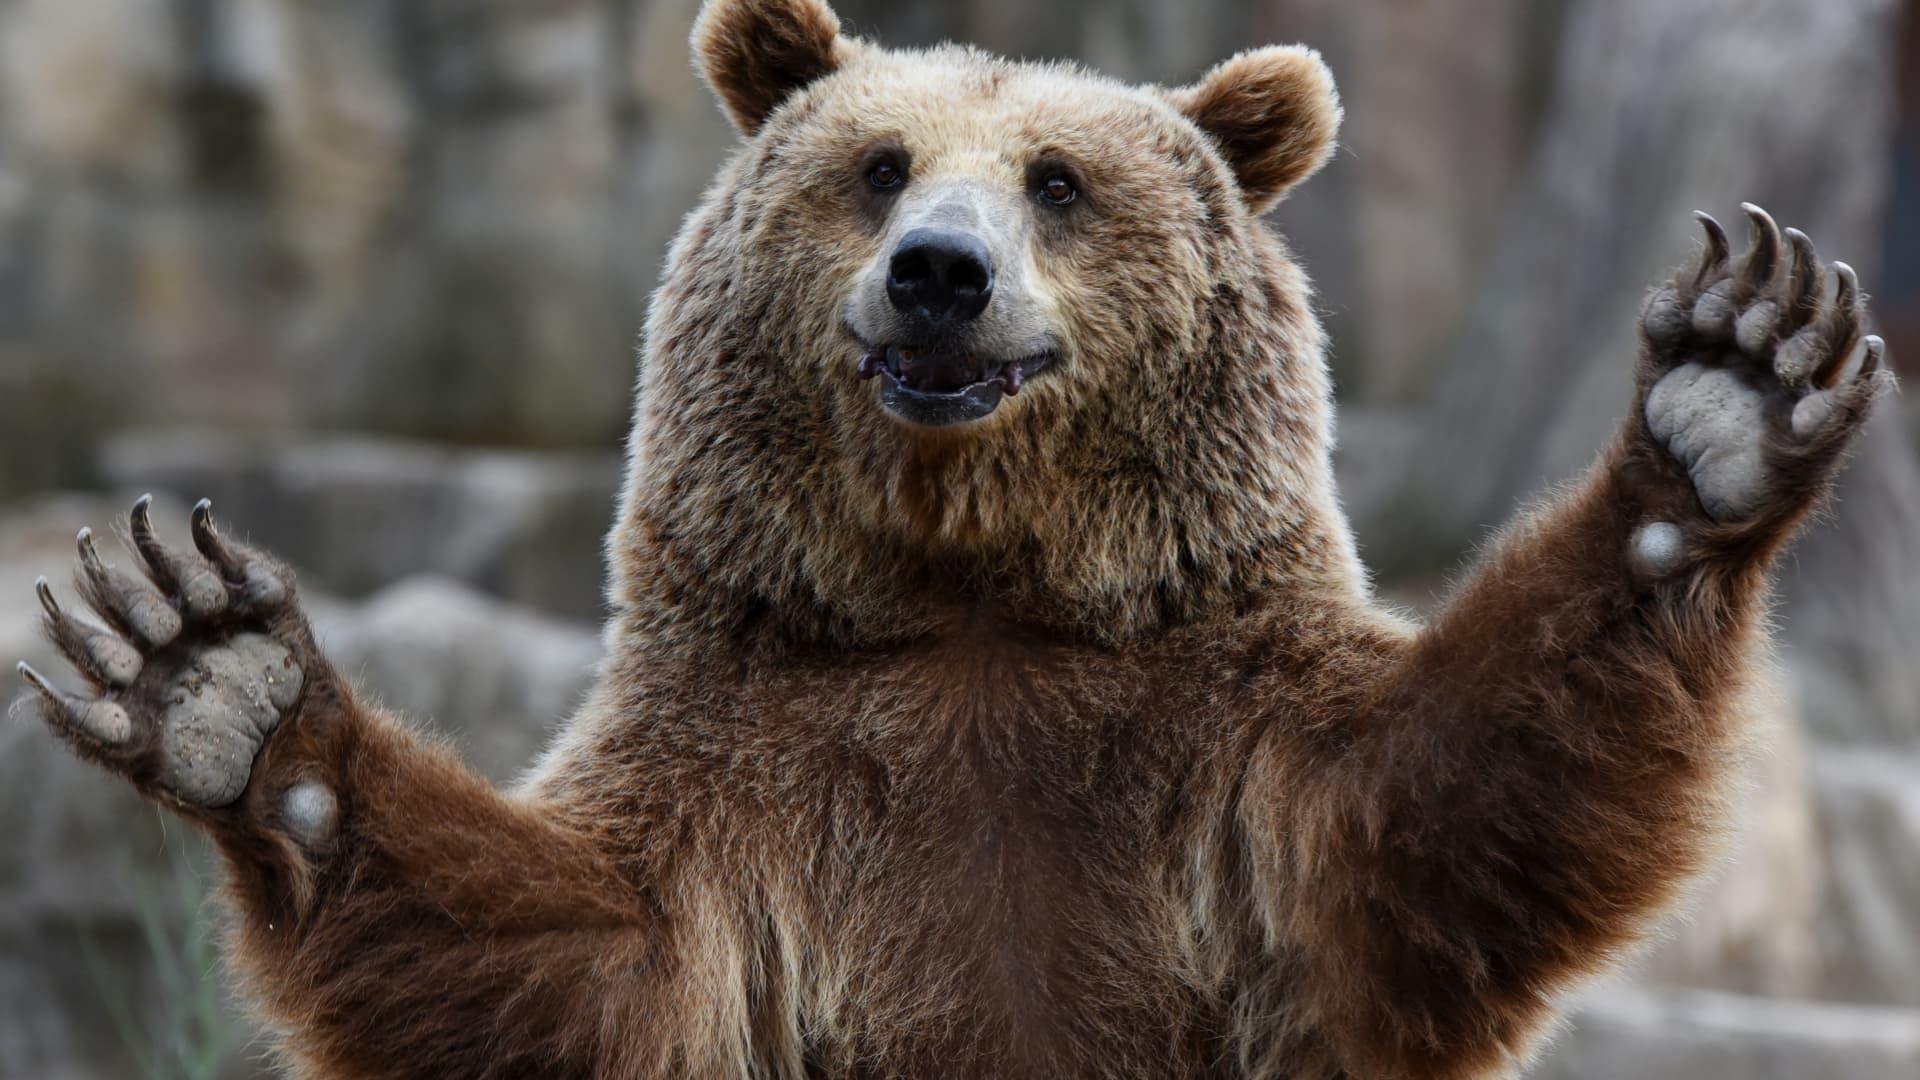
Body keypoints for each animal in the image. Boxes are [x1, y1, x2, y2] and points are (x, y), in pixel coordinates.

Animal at [14, 0, 1892, 1076]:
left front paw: (1726, 394)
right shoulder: (764, 758)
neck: (972, 585)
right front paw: (216, 677)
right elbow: (584, 965)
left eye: (1059, 179)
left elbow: (1446, 799)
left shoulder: (1213, 737)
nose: (939, 271)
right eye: (879, 162)